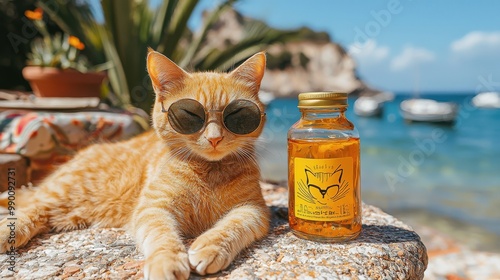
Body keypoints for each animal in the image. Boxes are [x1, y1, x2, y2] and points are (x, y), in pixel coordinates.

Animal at [0, 49, 270, 278]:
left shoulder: (253, 210)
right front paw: (167, 262)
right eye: (190, 114)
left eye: (236, 115)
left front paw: (210, 246)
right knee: (33, 207)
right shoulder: (153, 208)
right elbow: (162, 236)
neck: (209, 171)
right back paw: (8, 231)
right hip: (64, 192)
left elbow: (231, 226)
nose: (215, 138)